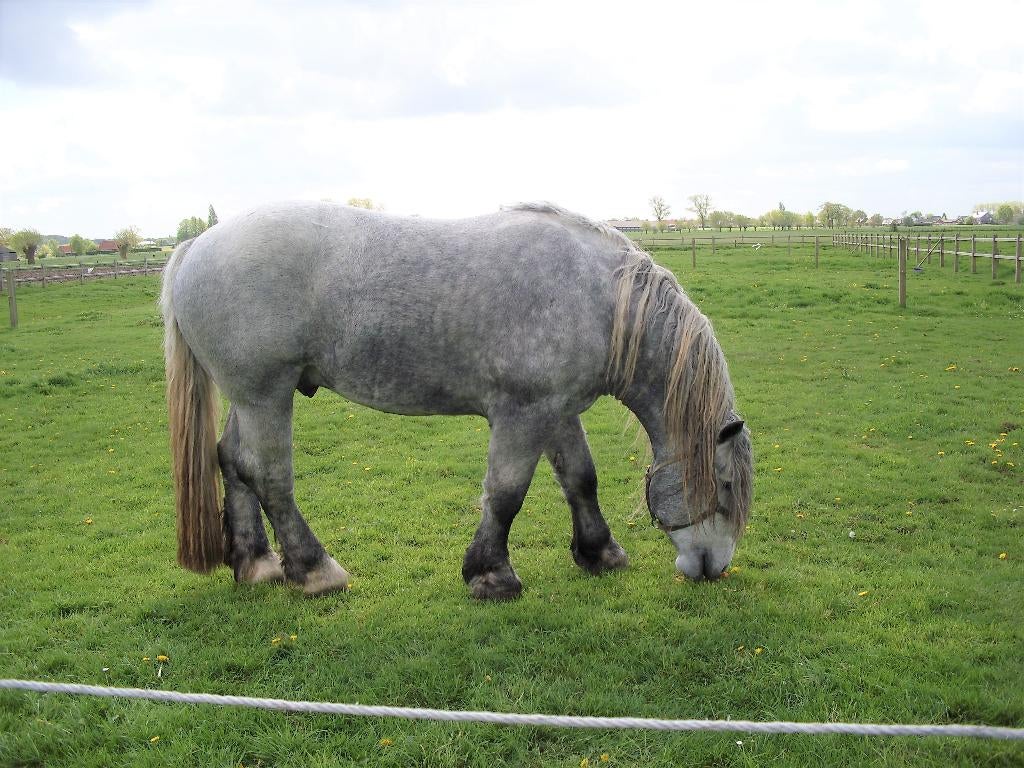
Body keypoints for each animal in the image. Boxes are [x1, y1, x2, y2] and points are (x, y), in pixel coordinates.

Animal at [160, 201, 753, 600]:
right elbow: (506, 494)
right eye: (724, 486)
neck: (598, 297)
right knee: (270, 477)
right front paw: (491, 575)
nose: (712, 566)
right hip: (266, 396)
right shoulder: (521, 415)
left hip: (249, 397)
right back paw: (314, 571)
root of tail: (196, 246)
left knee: (232, 462)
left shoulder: (556, 412)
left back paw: (257, 564)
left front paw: (599, 553)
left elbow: (580, 479)